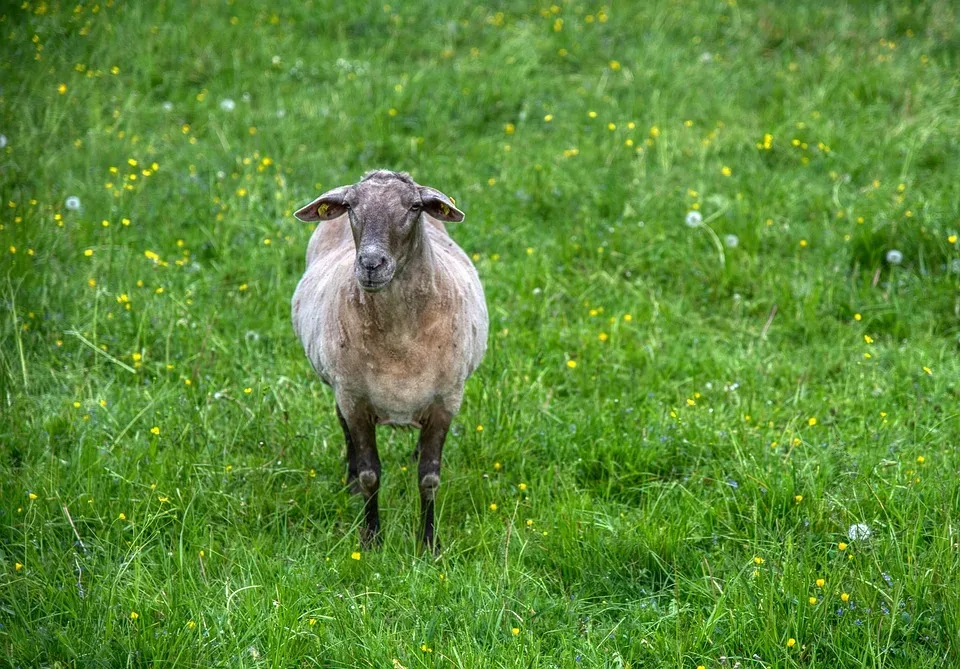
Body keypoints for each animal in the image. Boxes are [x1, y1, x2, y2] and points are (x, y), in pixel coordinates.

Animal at [290, 170, 488, 552]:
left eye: (414, 207)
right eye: (351, 206)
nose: (371, 264)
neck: (400, 342)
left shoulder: (446, 400)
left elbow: (429, 478)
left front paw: (428, 543)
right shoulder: (354, 399)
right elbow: (371, 474)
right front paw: (372, 539)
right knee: (342, 427)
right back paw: (350, 481)